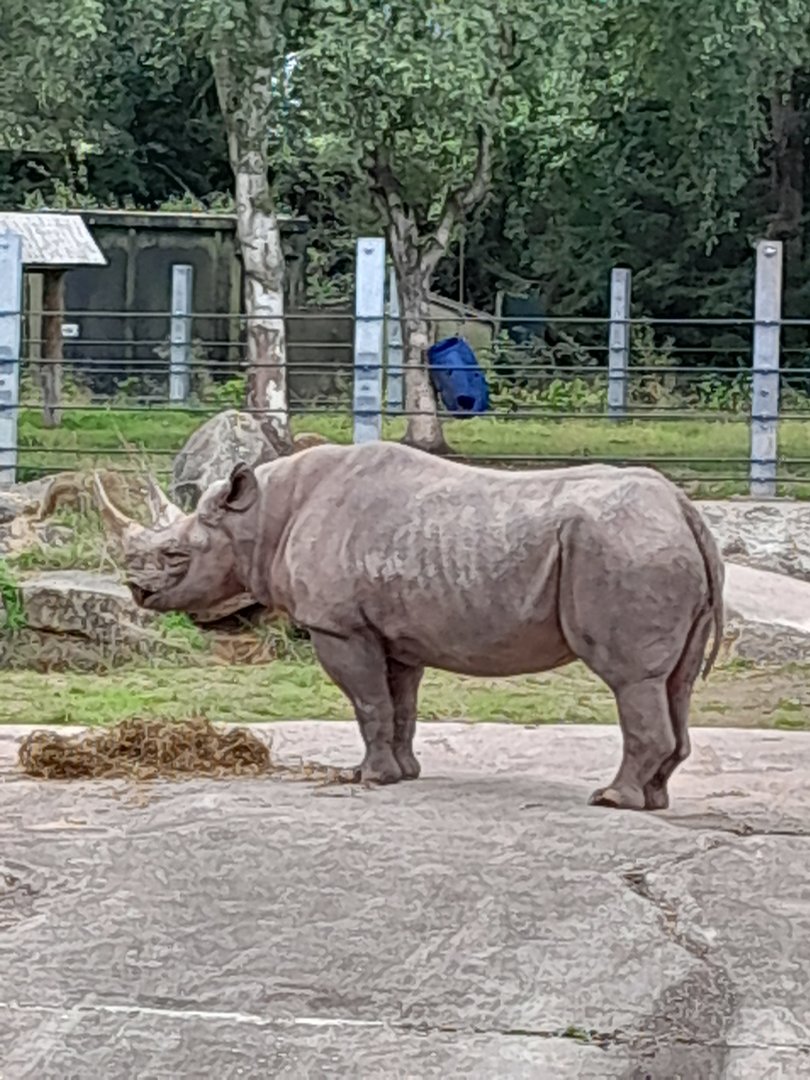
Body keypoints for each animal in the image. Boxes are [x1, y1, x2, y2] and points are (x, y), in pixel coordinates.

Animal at [94, 441, 724, 811]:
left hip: (624, 548)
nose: (136, 592)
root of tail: (684, 509)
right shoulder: (395, 635)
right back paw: (655, 801)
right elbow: (400, 705)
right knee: (676, 683)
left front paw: (367, 779)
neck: (261, 518)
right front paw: (405, 774)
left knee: (632, 680)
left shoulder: (339, 628)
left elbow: (368, 702)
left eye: (175, 555)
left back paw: (611, 800)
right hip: (649, 545)